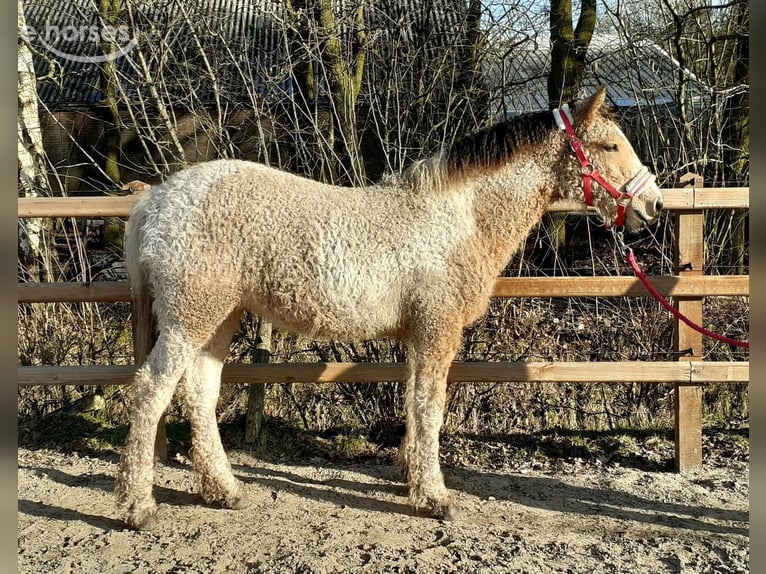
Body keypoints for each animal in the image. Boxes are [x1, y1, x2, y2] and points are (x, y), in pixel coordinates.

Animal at [115, 86, 663, 529]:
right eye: (611, 146)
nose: (653, 205)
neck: (459, 218)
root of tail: (158, 198)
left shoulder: (418, 335)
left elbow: (414, 403)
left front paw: (411, 478)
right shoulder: (437, 330)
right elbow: (430, 405)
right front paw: (435, 497)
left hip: (218, 318)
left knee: (199, 394)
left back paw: (224, 491)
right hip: (191, 317)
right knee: (151, 391)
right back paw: (137, 507)